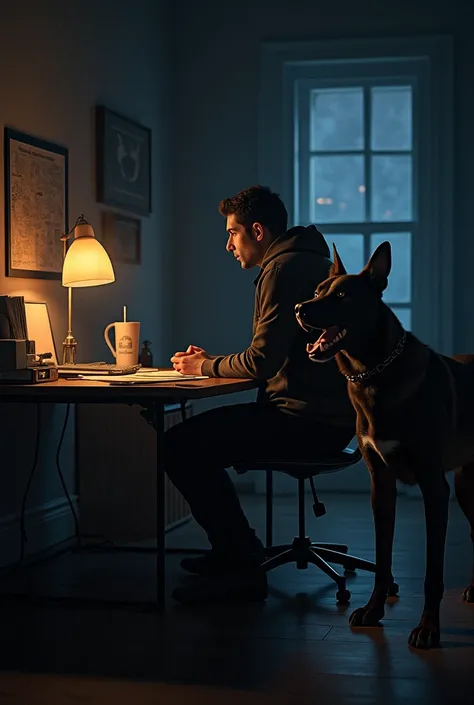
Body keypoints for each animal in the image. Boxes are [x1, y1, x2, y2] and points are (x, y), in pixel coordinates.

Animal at [296, 242, 474, 648]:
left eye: (342, 296)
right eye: (317, 291)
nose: (299, 308)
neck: (373, 371)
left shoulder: (434, 487)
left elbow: (433, 572)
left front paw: (428, 629)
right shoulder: (381, 484)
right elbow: (382, 558)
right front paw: (374, 610)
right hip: (467, 485)